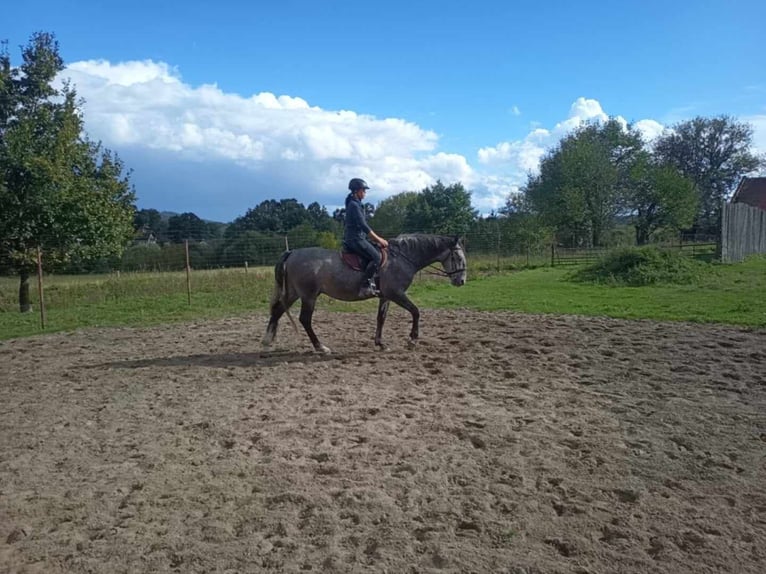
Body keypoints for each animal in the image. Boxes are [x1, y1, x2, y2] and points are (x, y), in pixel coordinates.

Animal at [262, 233, 468, 352]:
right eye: (458, 257)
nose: (461, 281)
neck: (401, 258)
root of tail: (292, 252)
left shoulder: (386, 296)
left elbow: (381, 318)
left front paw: (380, 343)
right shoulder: (396, 293)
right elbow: (416, 312)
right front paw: (412, 340)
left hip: (293, 293)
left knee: (278, 310)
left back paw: (267, 341)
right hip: (308, 296)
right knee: (304, 319)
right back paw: (320, 347)